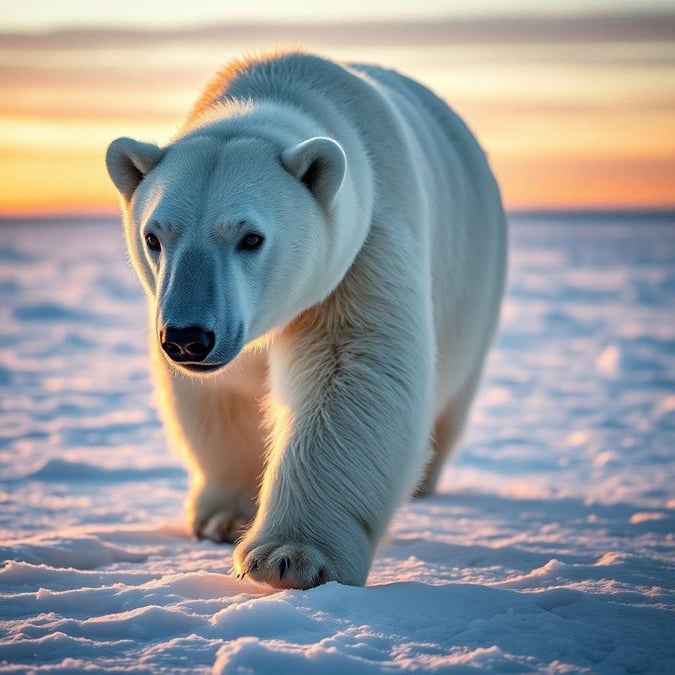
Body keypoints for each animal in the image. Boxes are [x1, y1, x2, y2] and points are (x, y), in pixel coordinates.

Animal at [107, 52, 508, 588]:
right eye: (154, 236)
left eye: (250, 237)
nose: (188, 338)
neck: (277, 86)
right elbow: (224, 393)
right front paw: (224, 518)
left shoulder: (364, 246)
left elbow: (351, 368)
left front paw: (288, 557)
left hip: (476, 284)